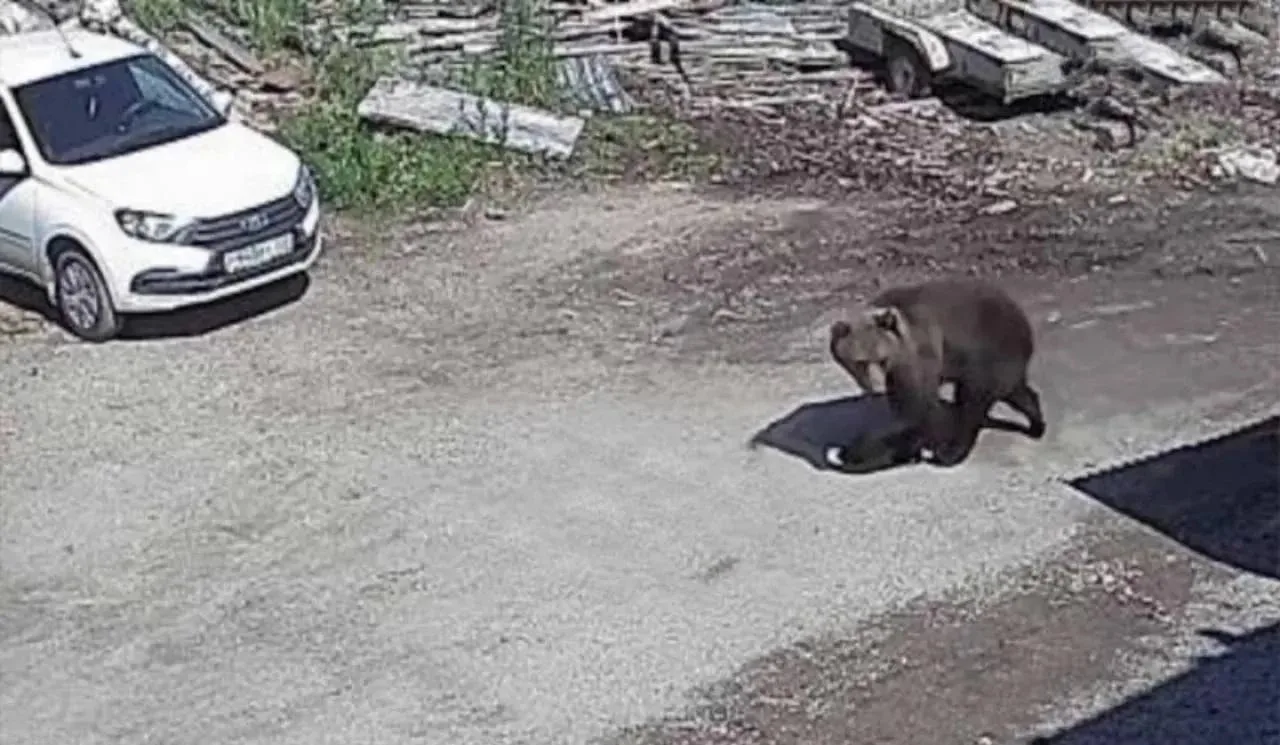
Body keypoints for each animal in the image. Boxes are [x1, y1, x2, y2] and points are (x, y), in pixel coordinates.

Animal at [827, 277, 1047, 468]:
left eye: (881, 358)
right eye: (860, 363)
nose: (875, 385)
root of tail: (1022, 319)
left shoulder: (921, 351)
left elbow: (916, 408)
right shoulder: (902, 367)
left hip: (990, 350)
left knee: (972, 401)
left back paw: (951, 452)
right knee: (1015, 392)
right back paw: (1036, 425)